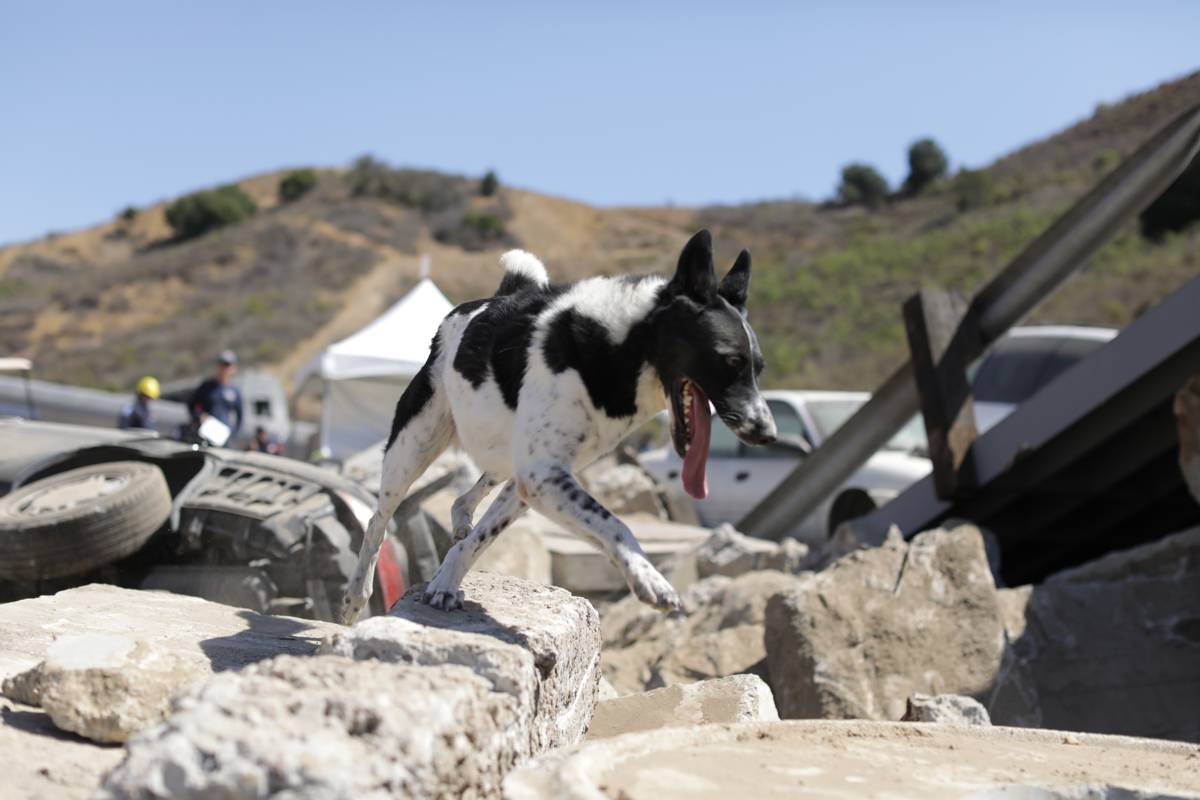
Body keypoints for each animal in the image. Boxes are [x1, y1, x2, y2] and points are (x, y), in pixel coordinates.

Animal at [343, 227, 777, 623]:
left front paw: (445, 582)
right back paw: (355, 596)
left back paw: (460, 520)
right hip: (414, 447)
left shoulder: (538, 478)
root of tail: (487, 301)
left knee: (467, 497)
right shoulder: (543, 474)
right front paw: (648, 577)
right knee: (378, 519)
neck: (619, 346)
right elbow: (614, 523)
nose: (767, 434)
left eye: (758, 368)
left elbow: (484, 538)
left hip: (507, 461)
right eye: (730, 361)